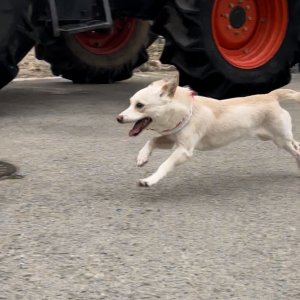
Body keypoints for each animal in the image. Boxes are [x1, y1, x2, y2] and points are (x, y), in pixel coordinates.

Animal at [116, 76, 300, 186]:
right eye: (130, 102)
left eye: (139, 105)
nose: (118, 118)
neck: (186, 111)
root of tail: (271, 96)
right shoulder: (171, 139)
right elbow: (151, 141)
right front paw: (142, 157)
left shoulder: (183, 151)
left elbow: (164, 165)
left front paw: (150, 180)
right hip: (273, 137)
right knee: (297, 144)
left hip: (281, 140)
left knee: (296, 150)